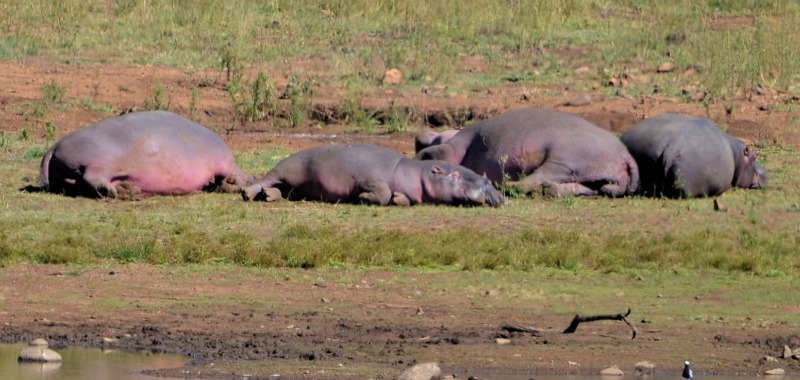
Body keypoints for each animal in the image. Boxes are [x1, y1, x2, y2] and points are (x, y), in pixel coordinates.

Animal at [39, 110, 247, 199]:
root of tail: (54, 146)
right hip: (101, 161)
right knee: (91, 177)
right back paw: (113, 192)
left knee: (80, 183)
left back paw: (128, 191)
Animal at [416, 107, 640, 196]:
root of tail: (626, 156)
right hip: (590, 174)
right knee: (590, 188)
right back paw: (548, 190)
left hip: (562, 159)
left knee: (532, 180)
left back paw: (507, 186)